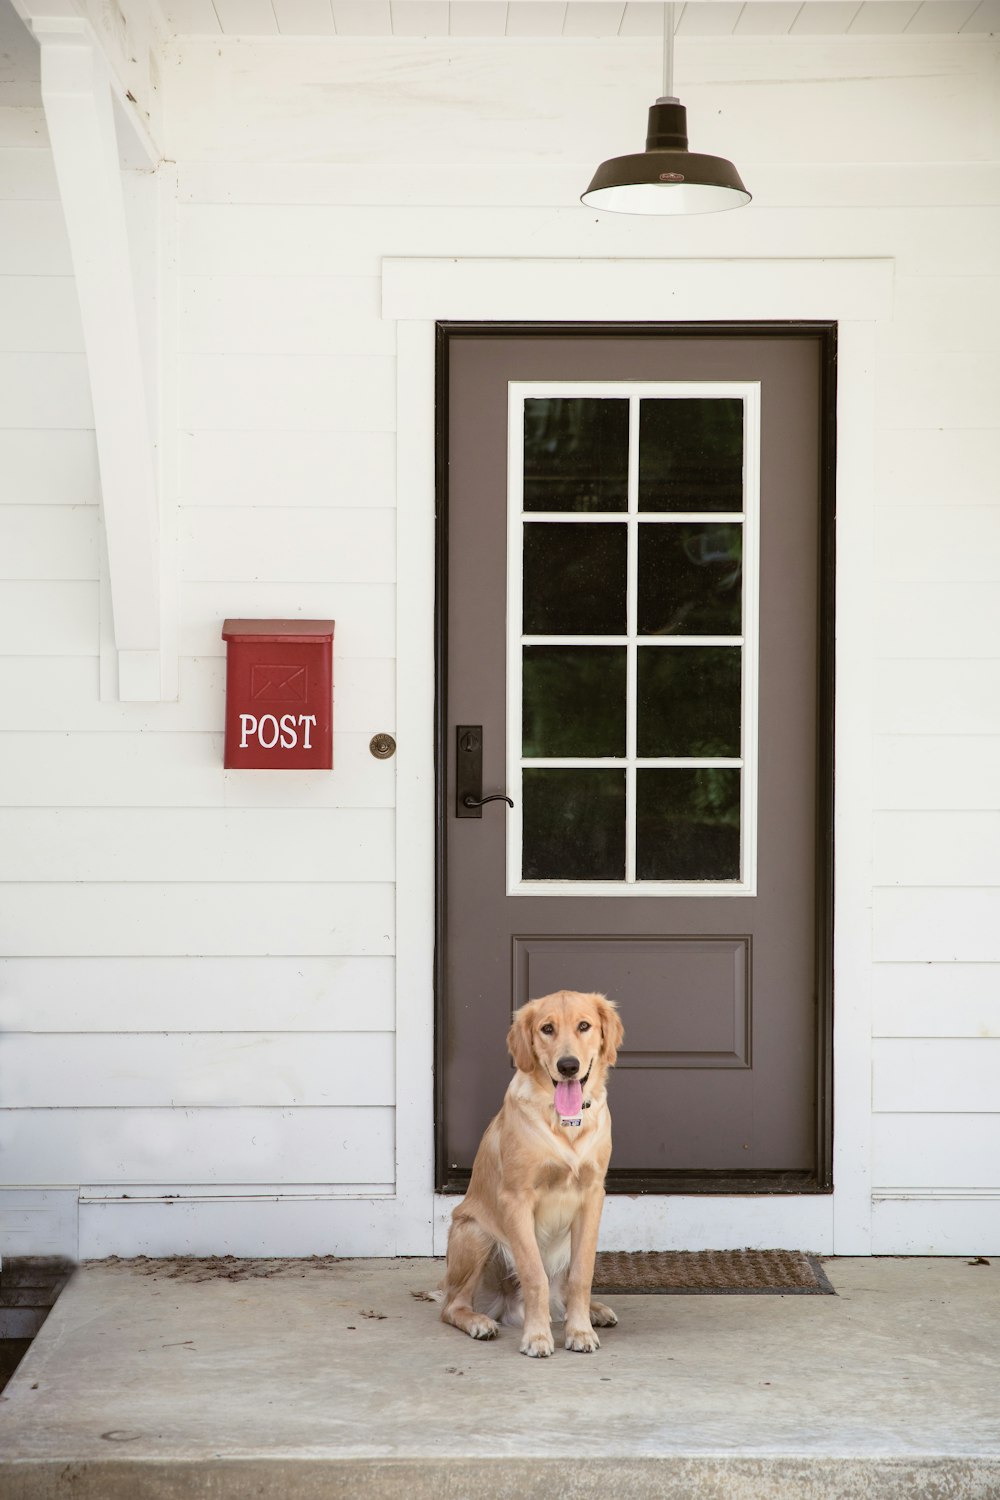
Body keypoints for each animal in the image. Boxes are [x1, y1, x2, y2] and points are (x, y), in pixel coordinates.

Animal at [440, 984, 620, 1362]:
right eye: (547, 1029)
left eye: (584, 1026)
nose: (568, 1066)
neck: (564, 1121)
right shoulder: (516, 1199)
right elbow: (534, 1274)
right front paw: (537, 1337)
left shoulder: (593, 1195)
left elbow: (582, 1274)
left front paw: (580, 1331)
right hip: (475, 1233)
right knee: (452, 1305)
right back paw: (479, 1322)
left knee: (563, 1292)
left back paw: (593, 1311)